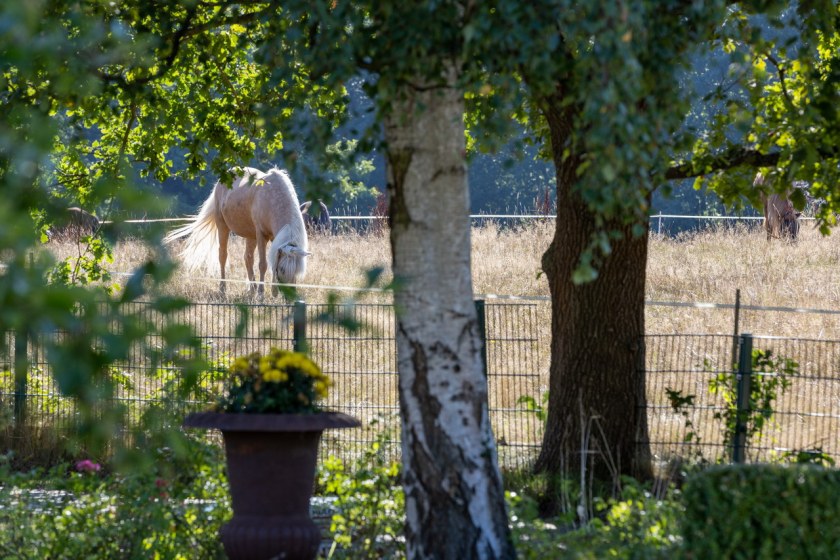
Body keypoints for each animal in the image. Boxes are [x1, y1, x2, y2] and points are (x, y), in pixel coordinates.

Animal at [162, 167, 310, 294]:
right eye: (282, 269)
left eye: (297, 270)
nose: (289, 297)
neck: (274, 198)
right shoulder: (261, 235)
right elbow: (263, 264)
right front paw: (261, 294)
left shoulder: (276, 238)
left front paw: (269, 293)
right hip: (223, 226)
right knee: (223, 256)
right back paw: (223, 289)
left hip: (250, 235)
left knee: (248, 258)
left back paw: (252, 290)